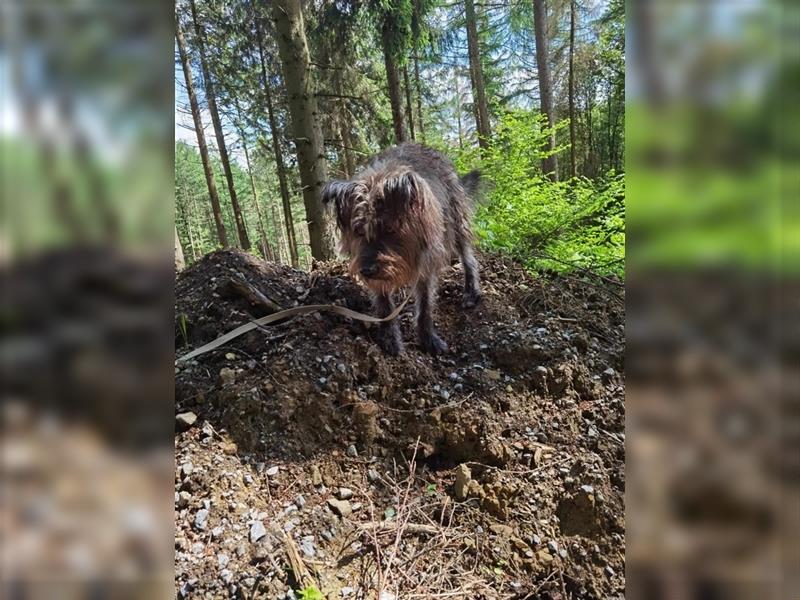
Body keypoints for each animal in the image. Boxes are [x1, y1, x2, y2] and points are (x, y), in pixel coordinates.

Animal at [322, 142, 484, 354]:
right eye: (358, 230)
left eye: (389, 229)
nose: (366, 270)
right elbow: (384, 304)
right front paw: (390, 336)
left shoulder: (425, 261)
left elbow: (425, 303)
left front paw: (428, 338)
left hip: (456, 221)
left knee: (467, 257)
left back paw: (471, 291)